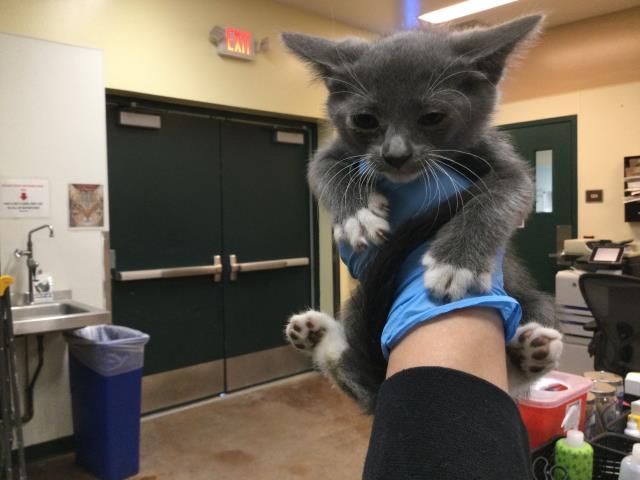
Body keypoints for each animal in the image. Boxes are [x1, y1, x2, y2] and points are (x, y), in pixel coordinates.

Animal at [284, 15, 560, 412]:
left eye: (432, 117)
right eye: (365, 120)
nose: (395, 155)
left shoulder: (507, 164)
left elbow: (507, 193)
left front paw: (456, 262)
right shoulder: (332, 151)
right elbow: (322, 170)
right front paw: (357, 216)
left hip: (533, 298)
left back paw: (528, 353)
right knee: (360, 376)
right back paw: (316, 334)